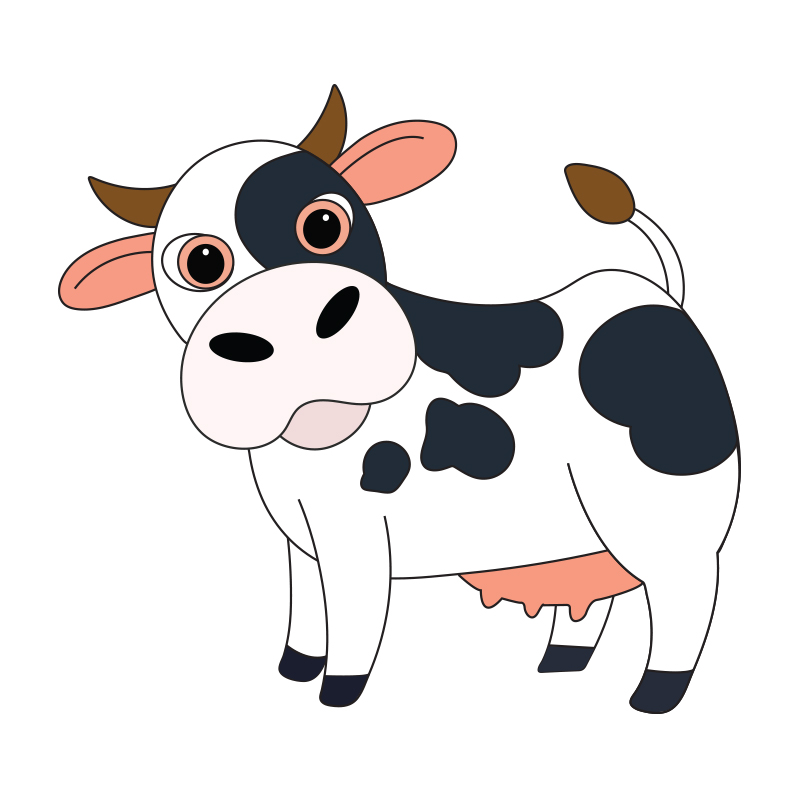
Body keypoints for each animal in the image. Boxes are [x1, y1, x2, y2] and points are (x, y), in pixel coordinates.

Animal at [59, 86, 739, 714]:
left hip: (664, 506)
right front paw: (294, 671)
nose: (296, 326)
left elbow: (355, 617)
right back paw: (563, 660)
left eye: (323, 224)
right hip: (592, 522)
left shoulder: (356, 535)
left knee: (684, 590)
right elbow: (307, 612)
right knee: (606, 588)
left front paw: (337, 693)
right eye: (201, 262)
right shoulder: (302, 539)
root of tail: (649, 292)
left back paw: (655, 692)